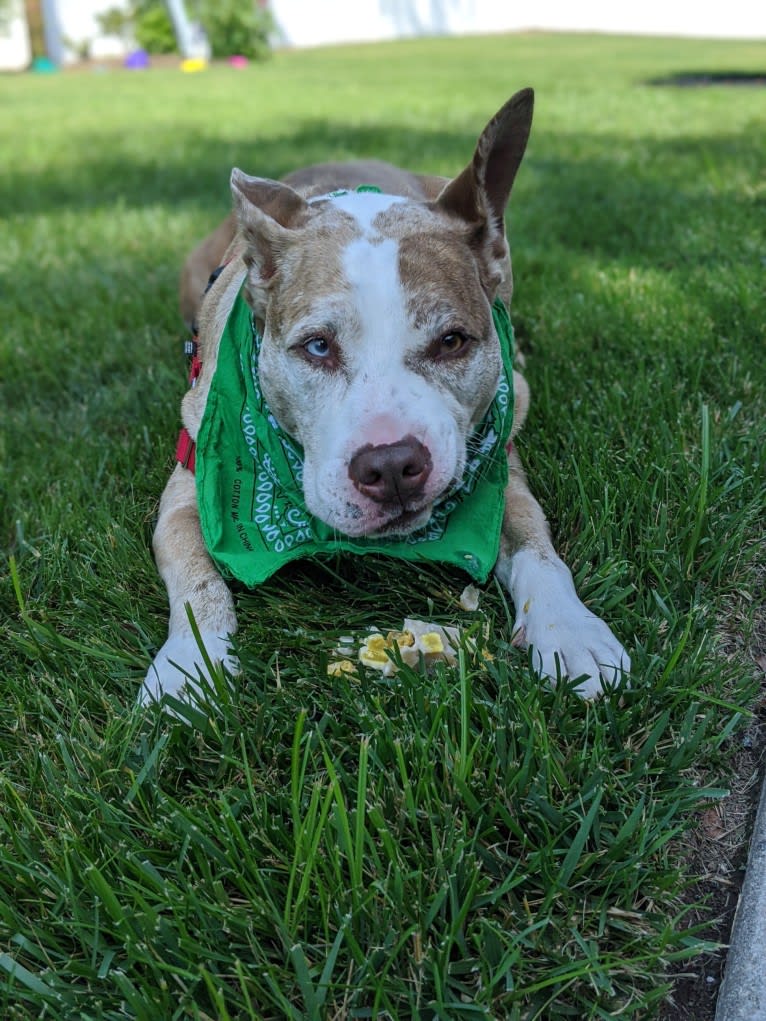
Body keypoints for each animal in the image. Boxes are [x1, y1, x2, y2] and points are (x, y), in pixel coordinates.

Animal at [140, 89, 633, 702]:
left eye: (452, 341)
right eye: (318, 347)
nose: (394, 464)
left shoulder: (506, 478)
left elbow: (539, 551)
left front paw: (570, 630)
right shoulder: (192, 484)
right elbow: (194, 575)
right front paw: (189, 665)